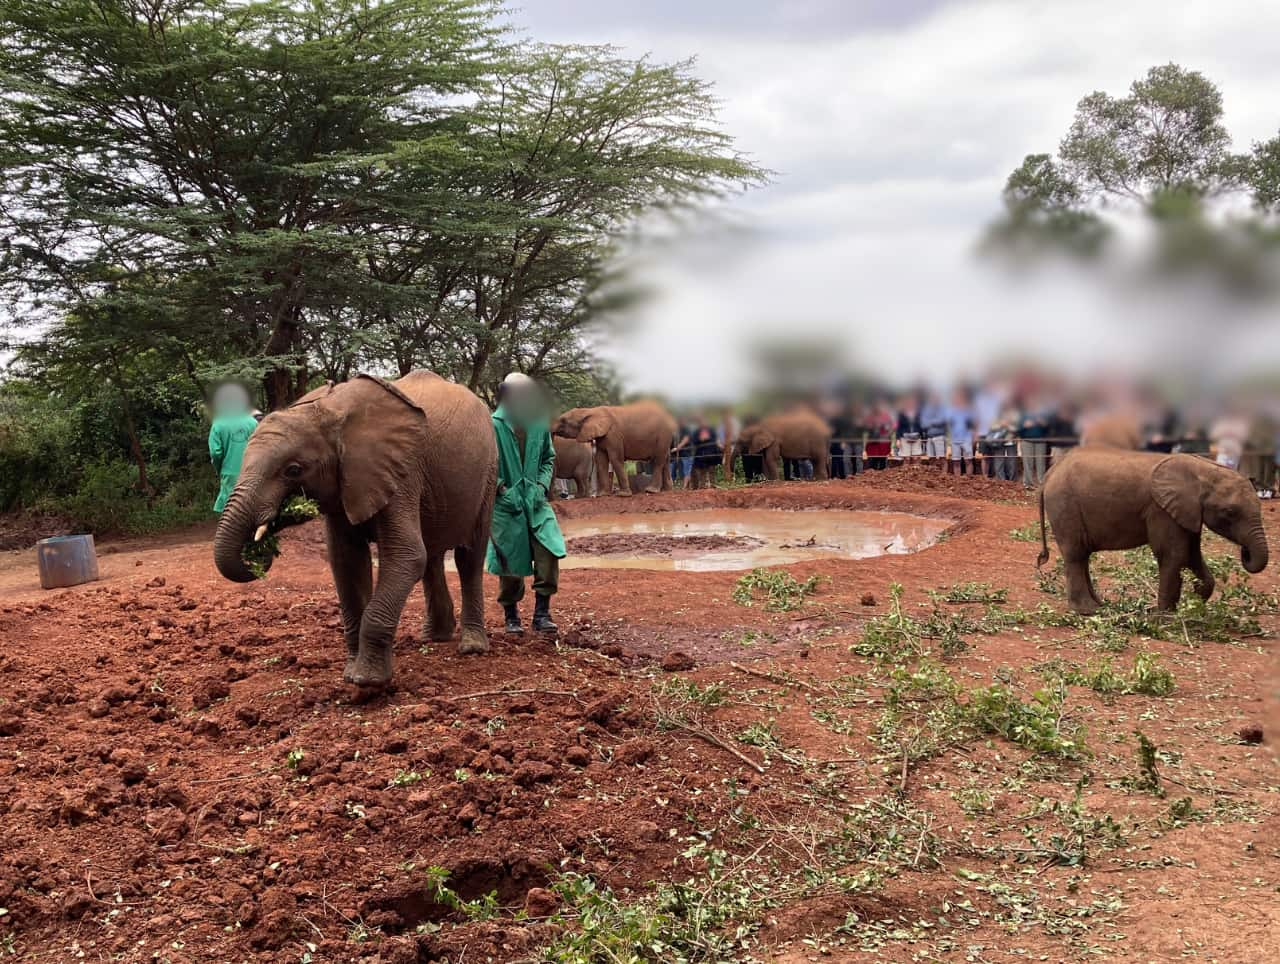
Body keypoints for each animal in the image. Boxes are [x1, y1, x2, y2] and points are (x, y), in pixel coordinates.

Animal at [212, 366, 496, 686]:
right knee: (432, 556)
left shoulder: (401, 473)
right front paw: (350, 674)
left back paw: (472, 647)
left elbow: (406, 555)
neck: (328, 410)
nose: (259, 548)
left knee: (468, 555)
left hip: (488, 470)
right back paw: (433, 637)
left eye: (293, 470)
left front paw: (367, 682)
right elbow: (346, 560)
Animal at [558, 401, 686, 499]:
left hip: (663, 435)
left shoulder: (613, 435)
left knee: (658, 460)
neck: (589, 411)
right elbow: (601, 460)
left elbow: (615, 458)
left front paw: (623, 495)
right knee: (665, 459)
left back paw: (650, 491)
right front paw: (602, 495)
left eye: (563, 421)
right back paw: (666, 490)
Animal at [1039, 448, 1269, 611]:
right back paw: (1087, 611)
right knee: (1076, 554)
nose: (1245, 552)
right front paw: (1165, 618)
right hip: (1064, 505)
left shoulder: (1187, 512)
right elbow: (1173, 554)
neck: (1203, 470)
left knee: (1083, 556)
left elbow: (1192, 554)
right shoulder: (1161, 510)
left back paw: (1100, 606)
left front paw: (1196, 598)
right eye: (1230, 512)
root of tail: (1050, 472)